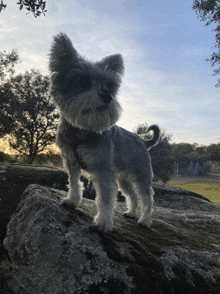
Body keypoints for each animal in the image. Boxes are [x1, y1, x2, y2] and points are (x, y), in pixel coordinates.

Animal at [49, 32, 161, 232]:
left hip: (141, 176)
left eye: (109, 85)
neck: (82, 130)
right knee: (132, 195)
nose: (107, 96)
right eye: (84, 81)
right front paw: (72, 200)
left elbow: (105, 199)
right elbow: (74, 183)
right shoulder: (71, 162)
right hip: (124, 178)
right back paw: (131, 212)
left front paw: (103, 222)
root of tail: (142, 140)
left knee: (147, 197)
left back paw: (145, 220)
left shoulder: (104, 171)